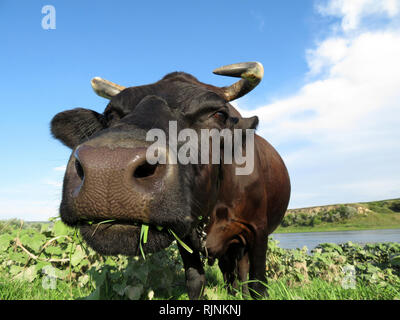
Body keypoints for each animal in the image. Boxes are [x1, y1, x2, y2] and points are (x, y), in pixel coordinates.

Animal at [50, 61, 290, 298]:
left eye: (219, 114)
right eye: (110, 115)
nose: (109, 167)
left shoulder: (258, 231)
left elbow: (259, 285)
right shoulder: (186, 240)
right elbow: (195, 281)